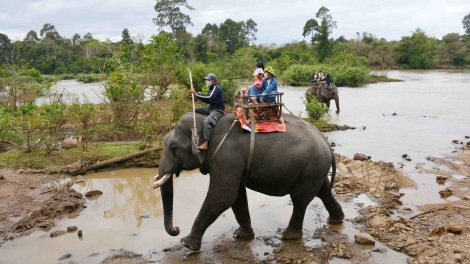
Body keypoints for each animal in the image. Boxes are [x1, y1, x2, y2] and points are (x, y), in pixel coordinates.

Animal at [156, 112, 344, 252]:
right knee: (323, 190)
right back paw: (336, 220)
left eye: (174, 149)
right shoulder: (231, 163)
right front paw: (241, 236)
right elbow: (236, 196)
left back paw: (289, 236)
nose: (176, 229)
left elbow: (222, 197)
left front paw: (186, 244)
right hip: (316, 169)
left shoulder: (226, 158)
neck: (208, 122)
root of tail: (327, 143)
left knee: (300, 200)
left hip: (311, 168)